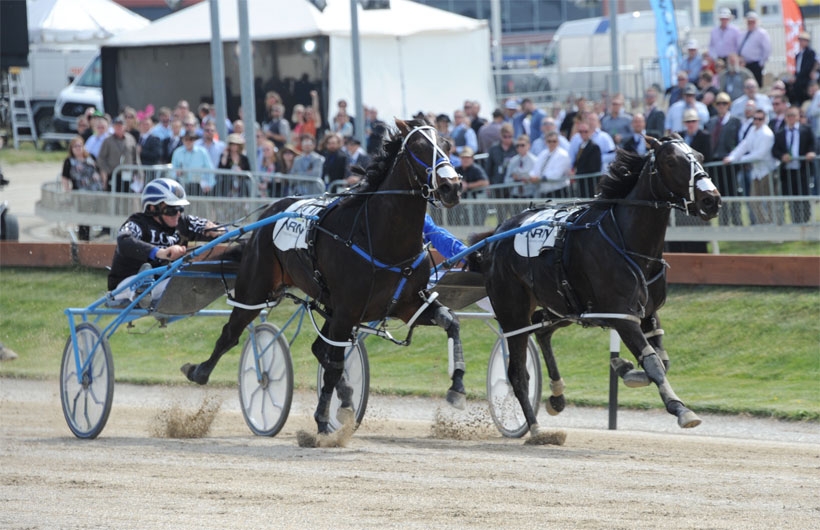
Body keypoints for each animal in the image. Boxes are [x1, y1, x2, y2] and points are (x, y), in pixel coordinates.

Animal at [183, 119, 464, 438]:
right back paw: (199, 371)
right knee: (231, 333)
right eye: (418, 147)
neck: (383, 240)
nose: (452, 186)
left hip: (330, 306)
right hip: (255, 288)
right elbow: (334, 365)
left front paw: (457, 387)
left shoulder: (408, 305)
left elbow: (451, 322)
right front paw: (322, 420)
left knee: (320, 349)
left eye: (448, 144)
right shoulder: (347, 311)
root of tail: (270, 210)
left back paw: (347, 399)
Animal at [470, 136, 720, 442]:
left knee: (541, 328)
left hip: (561, 306)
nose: (711, 199)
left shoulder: (649, 314)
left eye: (700, 155)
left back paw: (557, 396)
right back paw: (537, 429)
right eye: (672, 161)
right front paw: (681, 410)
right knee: (517, 372)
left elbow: (662, 361)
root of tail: (495, 236)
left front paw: (625, 368)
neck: (628, 241)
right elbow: (653, 363)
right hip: (512, 313)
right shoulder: (622, 316)